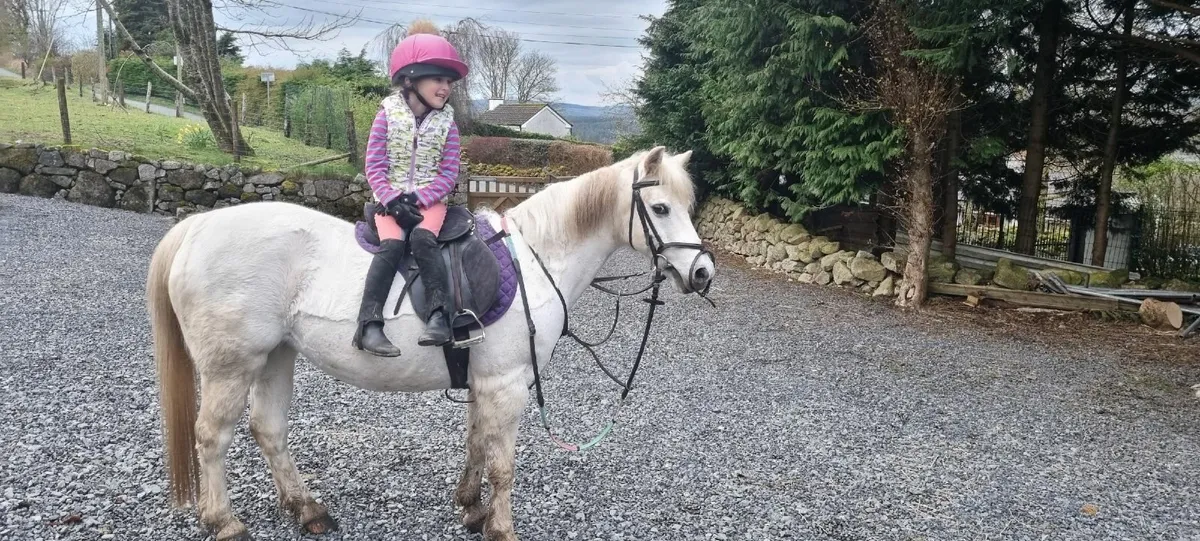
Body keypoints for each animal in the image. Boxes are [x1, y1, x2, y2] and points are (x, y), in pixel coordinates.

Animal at [144, 146, 716, 541]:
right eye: (660, 208)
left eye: (688, 205)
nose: (703, 273)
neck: (536, 259)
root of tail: (196, 227)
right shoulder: (508, 384)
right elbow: (503, 462)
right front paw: (500, 527)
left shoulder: (485, 381)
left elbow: (477, 442)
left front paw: (471, 507)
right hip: (232, 366)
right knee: (211, 438)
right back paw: (224, 521)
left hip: (275, 356)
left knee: (268, 430)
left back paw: (308, 510)